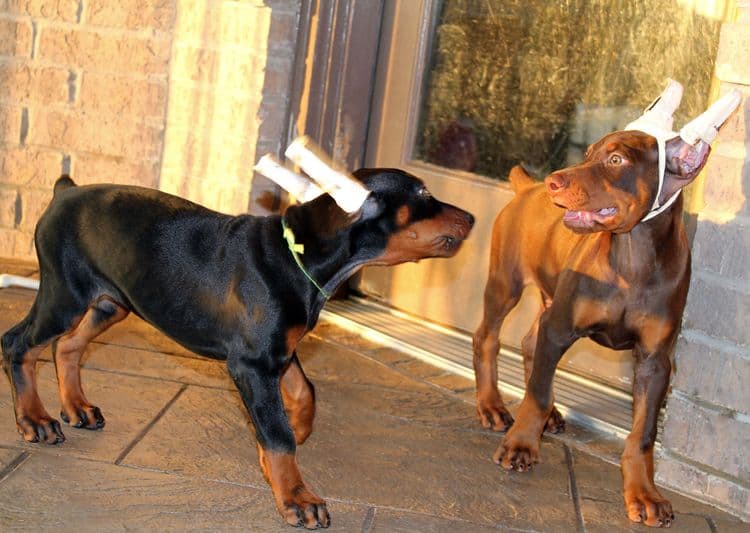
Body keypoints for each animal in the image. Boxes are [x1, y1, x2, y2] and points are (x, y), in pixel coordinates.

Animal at [2, 168, 476, 524]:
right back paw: (35, 420)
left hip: (111, 301)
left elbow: (304, 392)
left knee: (67, 346)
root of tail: (66, 191)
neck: (300, 256)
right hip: (66, 294)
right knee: (18, 343)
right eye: (424, 193)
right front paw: (297, 498)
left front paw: (296, 432)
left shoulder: (276, 350)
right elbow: (277, 435)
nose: (472, 218)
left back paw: (77, 407)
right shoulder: (253, 363)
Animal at [472, 95, 736, 528]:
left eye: (616, 160)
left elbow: (643, 434)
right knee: (489, 338)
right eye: (588, 154)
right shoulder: (561, 327)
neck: (632, 256)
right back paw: (493, 406)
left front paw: (644, 494)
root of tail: (526, 188)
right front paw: (522, 446)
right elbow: (538, 393)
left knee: (529, 342)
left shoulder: (654, 361)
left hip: (548, 299)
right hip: (505, 283)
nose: (554, 182)